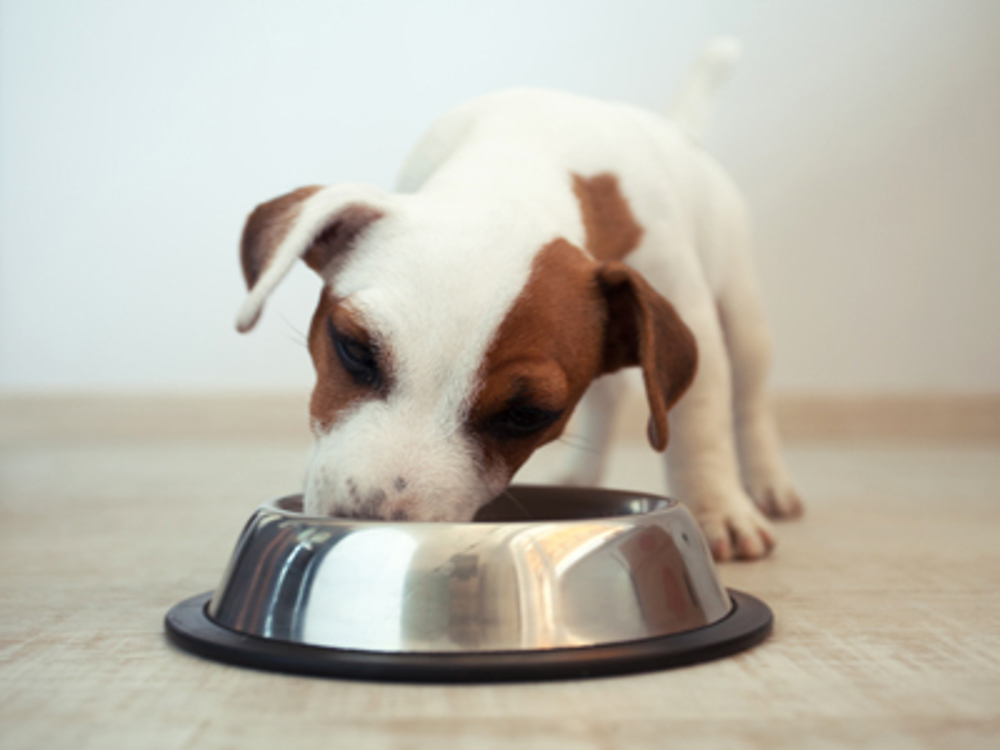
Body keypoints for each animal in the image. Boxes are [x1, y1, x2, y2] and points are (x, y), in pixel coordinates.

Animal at [234, 39, 804, 560]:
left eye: (528, 414)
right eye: (354, 349)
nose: (371, 525)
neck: (517, 163)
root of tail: (678, 130)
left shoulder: (690, 309)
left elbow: (699, 424)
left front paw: (716, 508)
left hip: (741, 314)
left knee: (748, 400)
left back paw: (767, 483)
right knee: (610, 394)